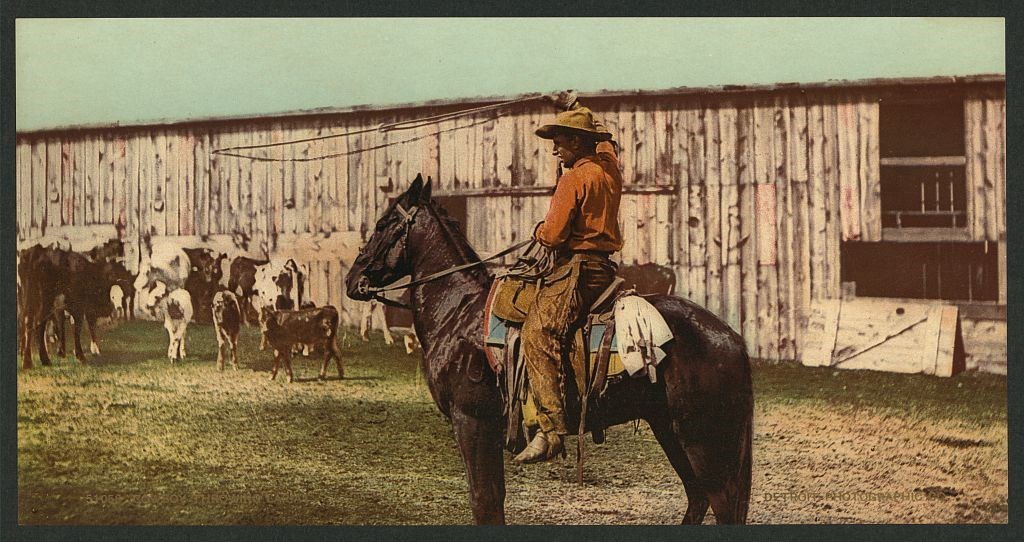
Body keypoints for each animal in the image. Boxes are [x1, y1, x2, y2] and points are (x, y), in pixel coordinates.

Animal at [344, 176, 753, 524]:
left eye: (382, 224)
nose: (352, 279)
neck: (458, 311)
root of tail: (731, 338)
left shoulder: (471, 423)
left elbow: (484, 500)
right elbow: (494, 499)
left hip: (702, 439)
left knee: (720, 503)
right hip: (669, 430)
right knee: (698, 498)